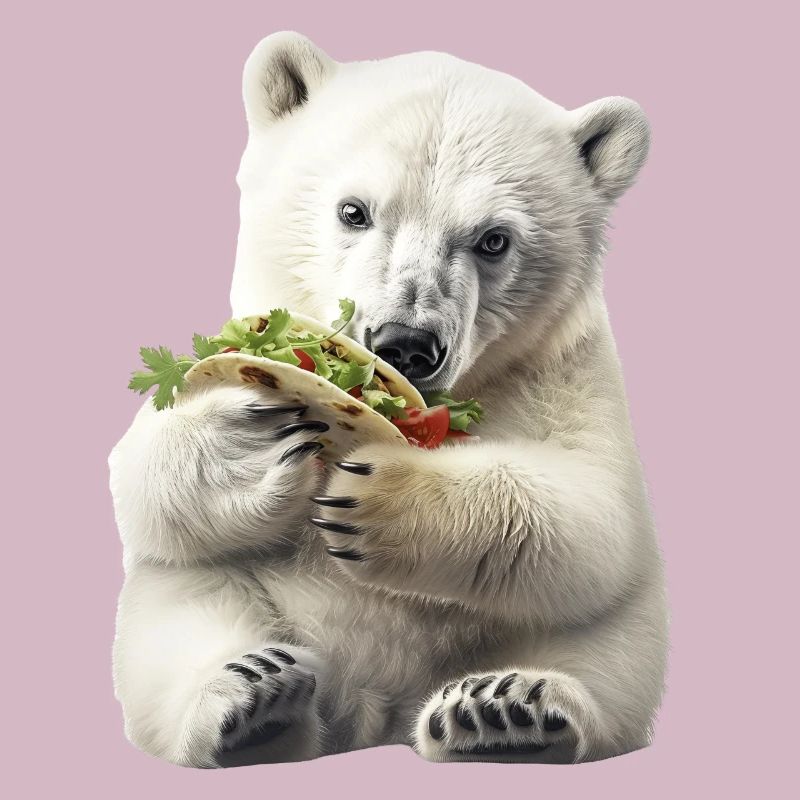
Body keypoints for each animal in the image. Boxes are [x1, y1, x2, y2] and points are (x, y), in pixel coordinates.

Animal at [109, 31, 668, 767]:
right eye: (355, 210)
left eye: (494, 239)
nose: (406, 343)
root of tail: (371, 710)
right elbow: (141, 483)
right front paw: (253, 440)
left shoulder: (564, 370)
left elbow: (592, 511)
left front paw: (377, 499)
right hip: (218, 596)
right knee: (180, 617)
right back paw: (254, 701)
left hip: (607, 628)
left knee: (607, 653)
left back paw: (503, 709)